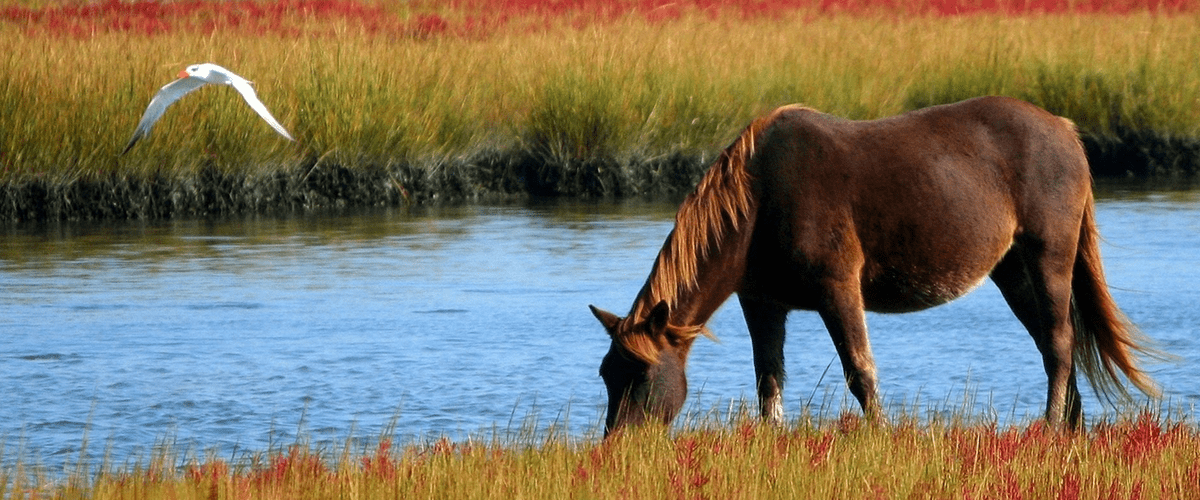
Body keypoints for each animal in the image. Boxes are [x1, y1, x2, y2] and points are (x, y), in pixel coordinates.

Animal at [595, 95, 1156, 434]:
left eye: (641, 374)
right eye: (605, 373)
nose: (617, 446)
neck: (759, 199)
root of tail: (1065, 130)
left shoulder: (838, 289)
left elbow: (860, 372)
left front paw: (879, 435)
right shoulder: (762, 303)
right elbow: (768, 380)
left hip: (1048, 257)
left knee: (1060, 343)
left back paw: (1050, 428)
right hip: (1012, 271)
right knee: (1052, 343)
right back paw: (1070, 427)